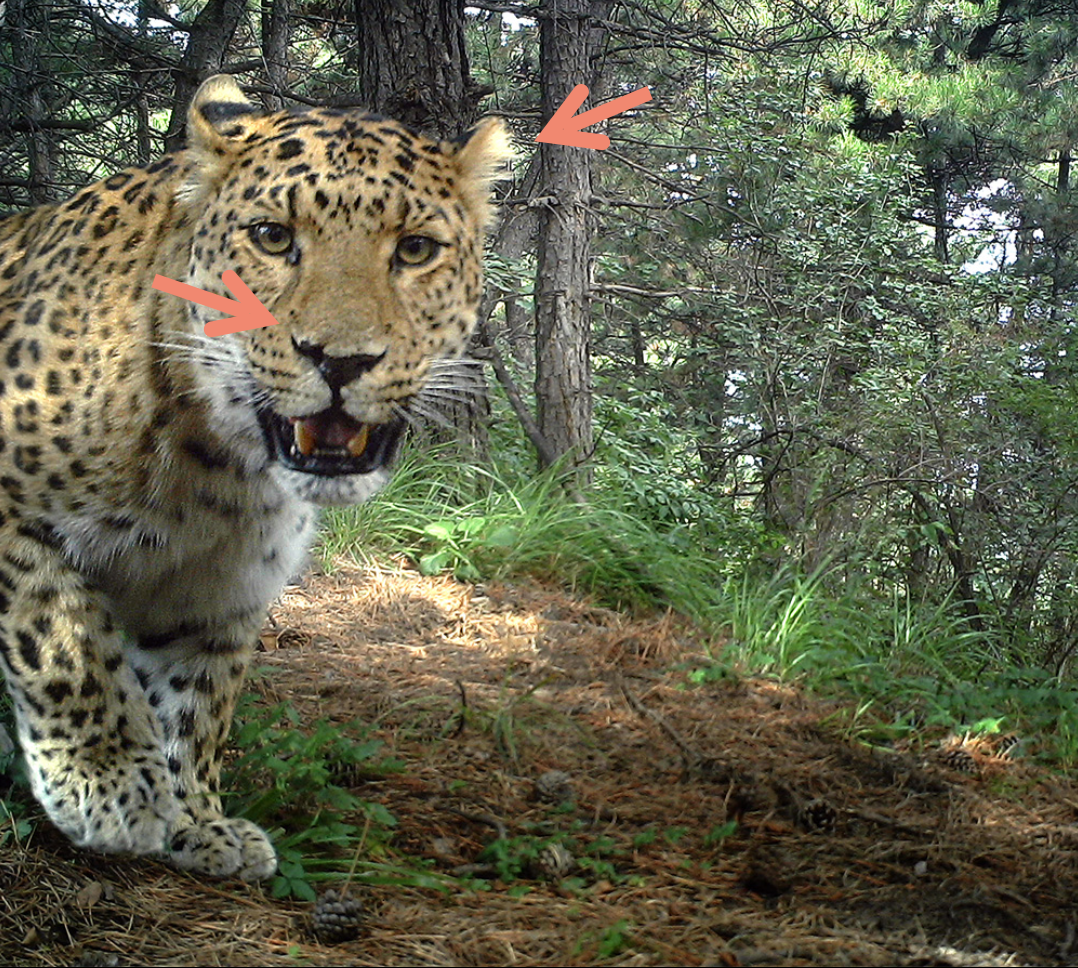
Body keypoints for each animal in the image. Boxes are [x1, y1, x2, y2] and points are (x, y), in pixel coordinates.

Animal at [0, 73, 508, 875]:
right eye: (273, 237)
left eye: (416, 249)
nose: (341, 360)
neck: (215, 471)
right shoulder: (15, 518)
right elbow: (62, 638)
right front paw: (107, 783)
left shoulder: (217, 592)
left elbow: (197, 704)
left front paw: (196, 821)